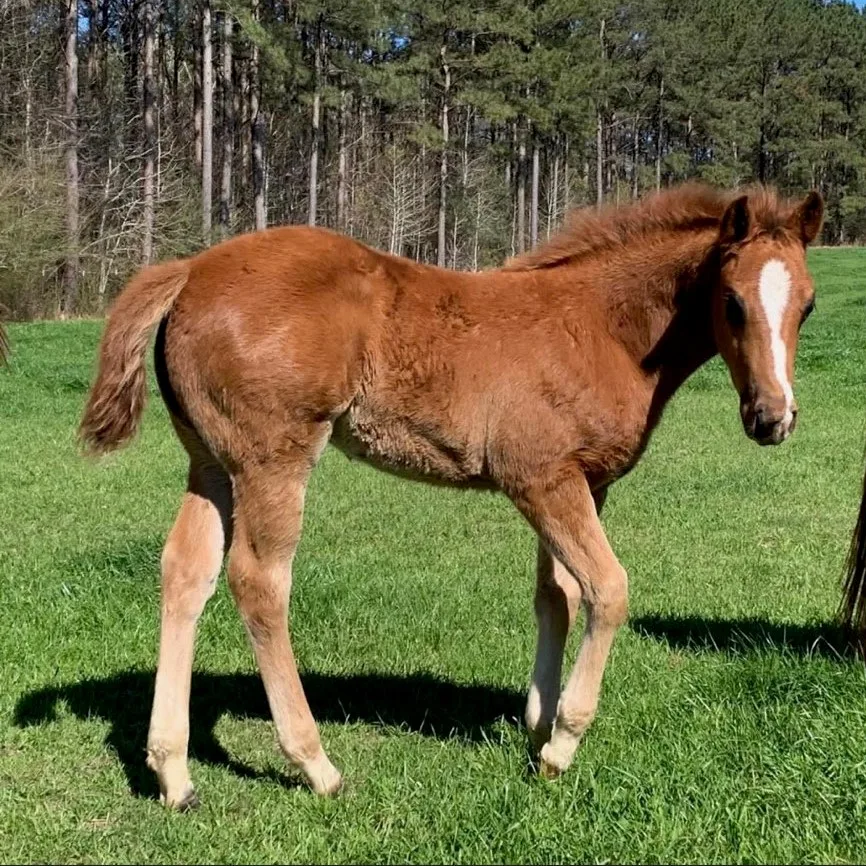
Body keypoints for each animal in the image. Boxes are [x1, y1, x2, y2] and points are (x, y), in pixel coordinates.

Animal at [81, 184, 824, 808]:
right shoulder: (541, 479)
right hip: (273, 458)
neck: (600, 327)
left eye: (808, 305)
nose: (772, 417)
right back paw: (316, 764)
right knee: (259, 582)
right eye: (732, 301)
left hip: (211, 462)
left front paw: (535, 725)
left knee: (186, 573)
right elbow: (608, 590)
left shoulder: (582, 482)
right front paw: (562, 744)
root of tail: (190, 271)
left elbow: (558, 594)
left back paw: (174, 775)